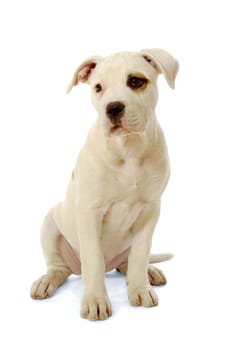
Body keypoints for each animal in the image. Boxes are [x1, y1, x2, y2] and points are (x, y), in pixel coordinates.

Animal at [30, 48, 178, 320]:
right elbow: (93, 260)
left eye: (136, 81)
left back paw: (147, 273)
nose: (113, 108)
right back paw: (47, 280)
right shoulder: (89, 211)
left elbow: (140, 254)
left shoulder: (151, 210)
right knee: (59, 267)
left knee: (129, 262)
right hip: (50, 224)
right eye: (98, 87)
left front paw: (140, 289)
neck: (128, 149)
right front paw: (95, 300)